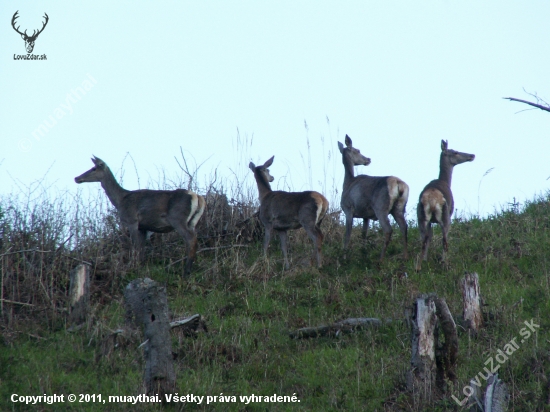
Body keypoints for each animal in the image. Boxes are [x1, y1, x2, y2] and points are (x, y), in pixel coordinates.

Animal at [74, 156, 206, 276]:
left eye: (94, 168)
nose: (76, 178)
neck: (121, 200)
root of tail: (198, 197)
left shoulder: (131, 220)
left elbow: (135, 247)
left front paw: (133, 268)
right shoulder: (143, 227)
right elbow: (141, 249)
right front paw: (140, 267)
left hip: (177, 218)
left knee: (190, 239)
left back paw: (186, 271)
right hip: (192, 222)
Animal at [416, 140, 476, 272]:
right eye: (455, 152)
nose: (472, 155)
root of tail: (432, 200)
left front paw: (425, 260)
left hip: (420, 217)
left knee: (424, 239)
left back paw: (419, 266)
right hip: (445, 216)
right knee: (444, 240)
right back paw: (444, 263)